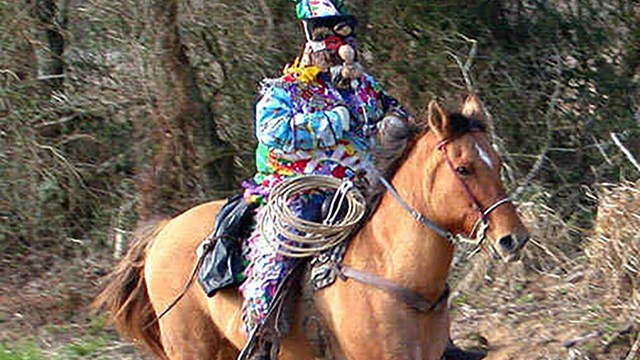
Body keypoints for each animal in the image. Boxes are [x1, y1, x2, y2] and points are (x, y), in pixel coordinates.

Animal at [95, 96, 532, 360]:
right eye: (464, 168)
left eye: (495, 161)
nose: (514, 238)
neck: (391, 270)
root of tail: (164, 231)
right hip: (190, 346)